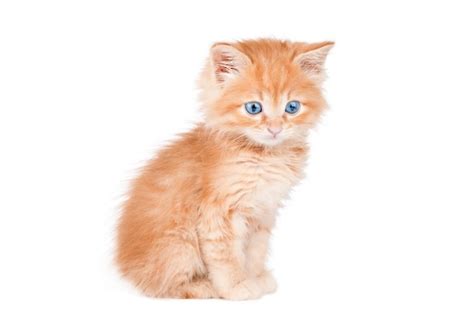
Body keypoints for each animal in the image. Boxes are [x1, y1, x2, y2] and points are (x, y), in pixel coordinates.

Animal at [117, 38, 336, 300]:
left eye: (292, 107)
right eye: (254, 108)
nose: (275, 129)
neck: (263, 157)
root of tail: (125, 267)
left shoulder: (262, 211)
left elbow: (255, 251)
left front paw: (255, 277)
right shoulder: (218, 212)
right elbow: (226, 255)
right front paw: (236, 286)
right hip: (180, 243)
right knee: (162, 285)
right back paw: (204, 286)